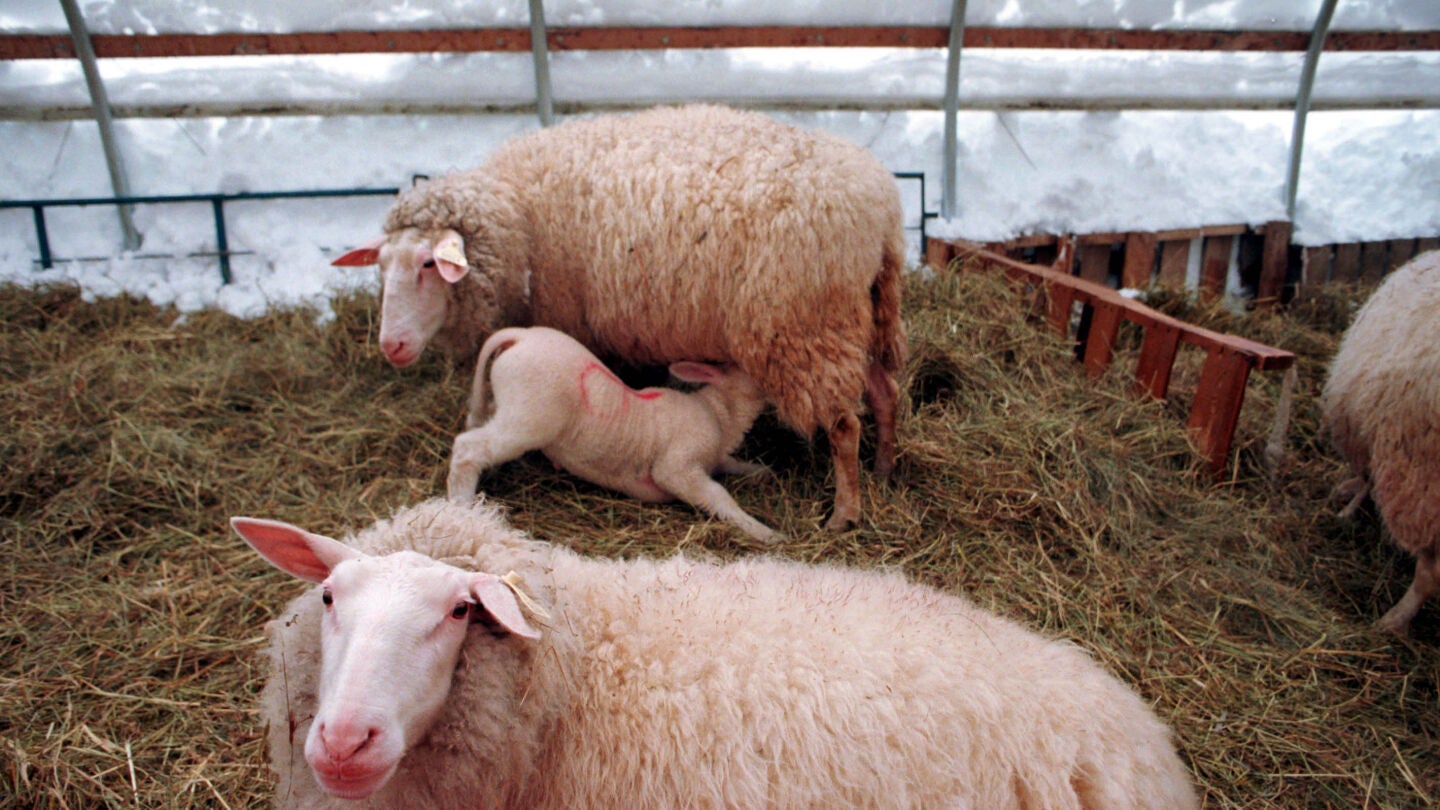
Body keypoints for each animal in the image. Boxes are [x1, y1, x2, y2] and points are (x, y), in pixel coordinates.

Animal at [447, 325, 777, 543]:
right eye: (753, 370)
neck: (721, 414)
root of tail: (521, 335)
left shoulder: (713, 459)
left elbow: (732, 464)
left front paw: (761, 472)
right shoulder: (677, 468)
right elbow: (719, 496)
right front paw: (764, 532)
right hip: (527, 418)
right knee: (468, 449)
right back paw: (463, 511)